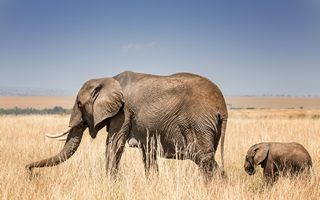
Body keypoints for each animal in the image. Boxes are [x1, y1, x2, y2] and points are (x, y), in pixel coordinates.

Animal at [25, 71, 228, 180]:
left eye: (80, 104)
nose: (29, 171)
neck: (106, 78)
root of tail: (222, 107)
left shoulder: (123, 112)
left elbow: (113, 145)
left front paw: (110, 183)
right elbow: (147, 155)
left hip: (198, 123)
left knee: (203, 158)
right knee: (208, 159)